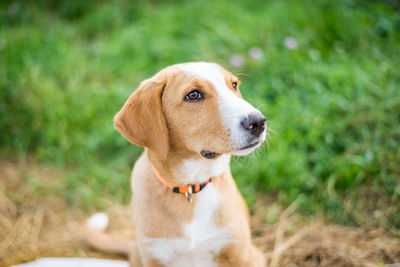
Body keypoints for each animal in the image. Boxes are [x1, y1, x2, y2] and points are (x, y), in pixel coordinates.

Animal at [85, 62, 266, 267]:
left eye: (234, 85)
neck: (191, 185)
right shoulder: (154, 256)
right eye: (193, 95)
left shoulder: (244, 255)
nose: (259, 122)